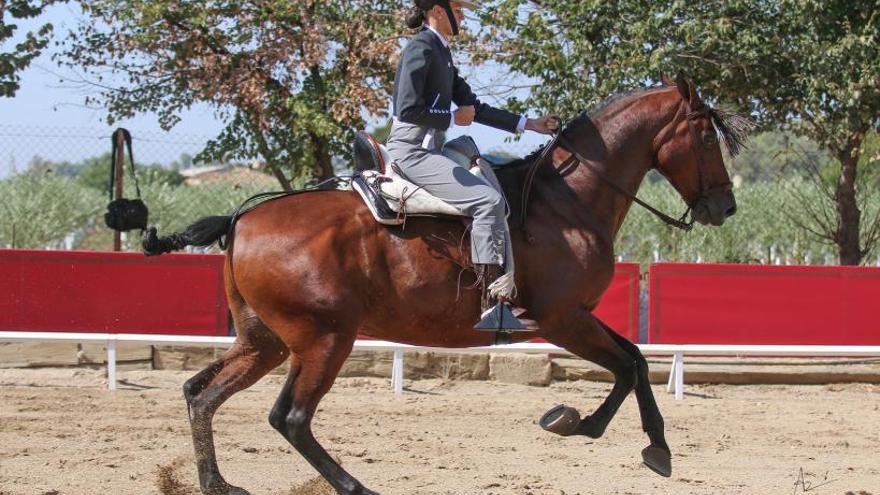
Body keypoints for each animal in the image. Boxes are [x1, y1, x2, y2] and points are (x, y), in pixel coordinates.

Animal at [144, 74, 748, 495]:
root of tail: (243, 219)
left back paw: (217, 483)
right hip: (323, 341)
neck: (567, 200)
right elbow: (627, 366)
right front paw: (582, 425)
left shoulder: (578, 317)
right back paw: (354, 486)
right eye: (704, 135)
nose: (725, 207)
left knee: (201, 394)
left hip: (264, 342)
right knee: (289, 418)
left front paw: (649, 444)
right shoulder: (562, 320)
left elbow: (637, 361)